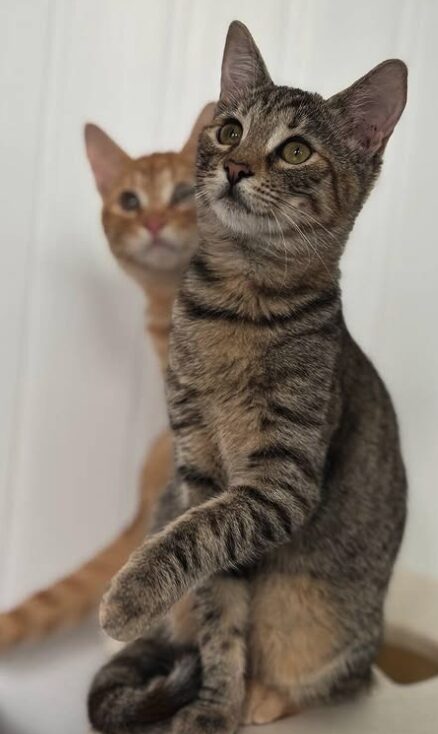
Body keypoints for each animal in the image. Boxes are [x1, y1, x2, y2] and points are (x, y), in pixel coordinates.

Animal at [89, 20, 408, 732]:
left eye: (294, 150)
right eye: (229, 130)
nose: (236, 167)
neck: (237, 304)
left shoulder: (280, 480)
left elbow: (199, 536)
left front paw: (131, 596)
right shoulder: (200, 468)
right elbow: (218, 605)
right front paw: (214, 702)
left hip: (330, 629)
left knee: (339, 680)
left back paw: (269, 696)